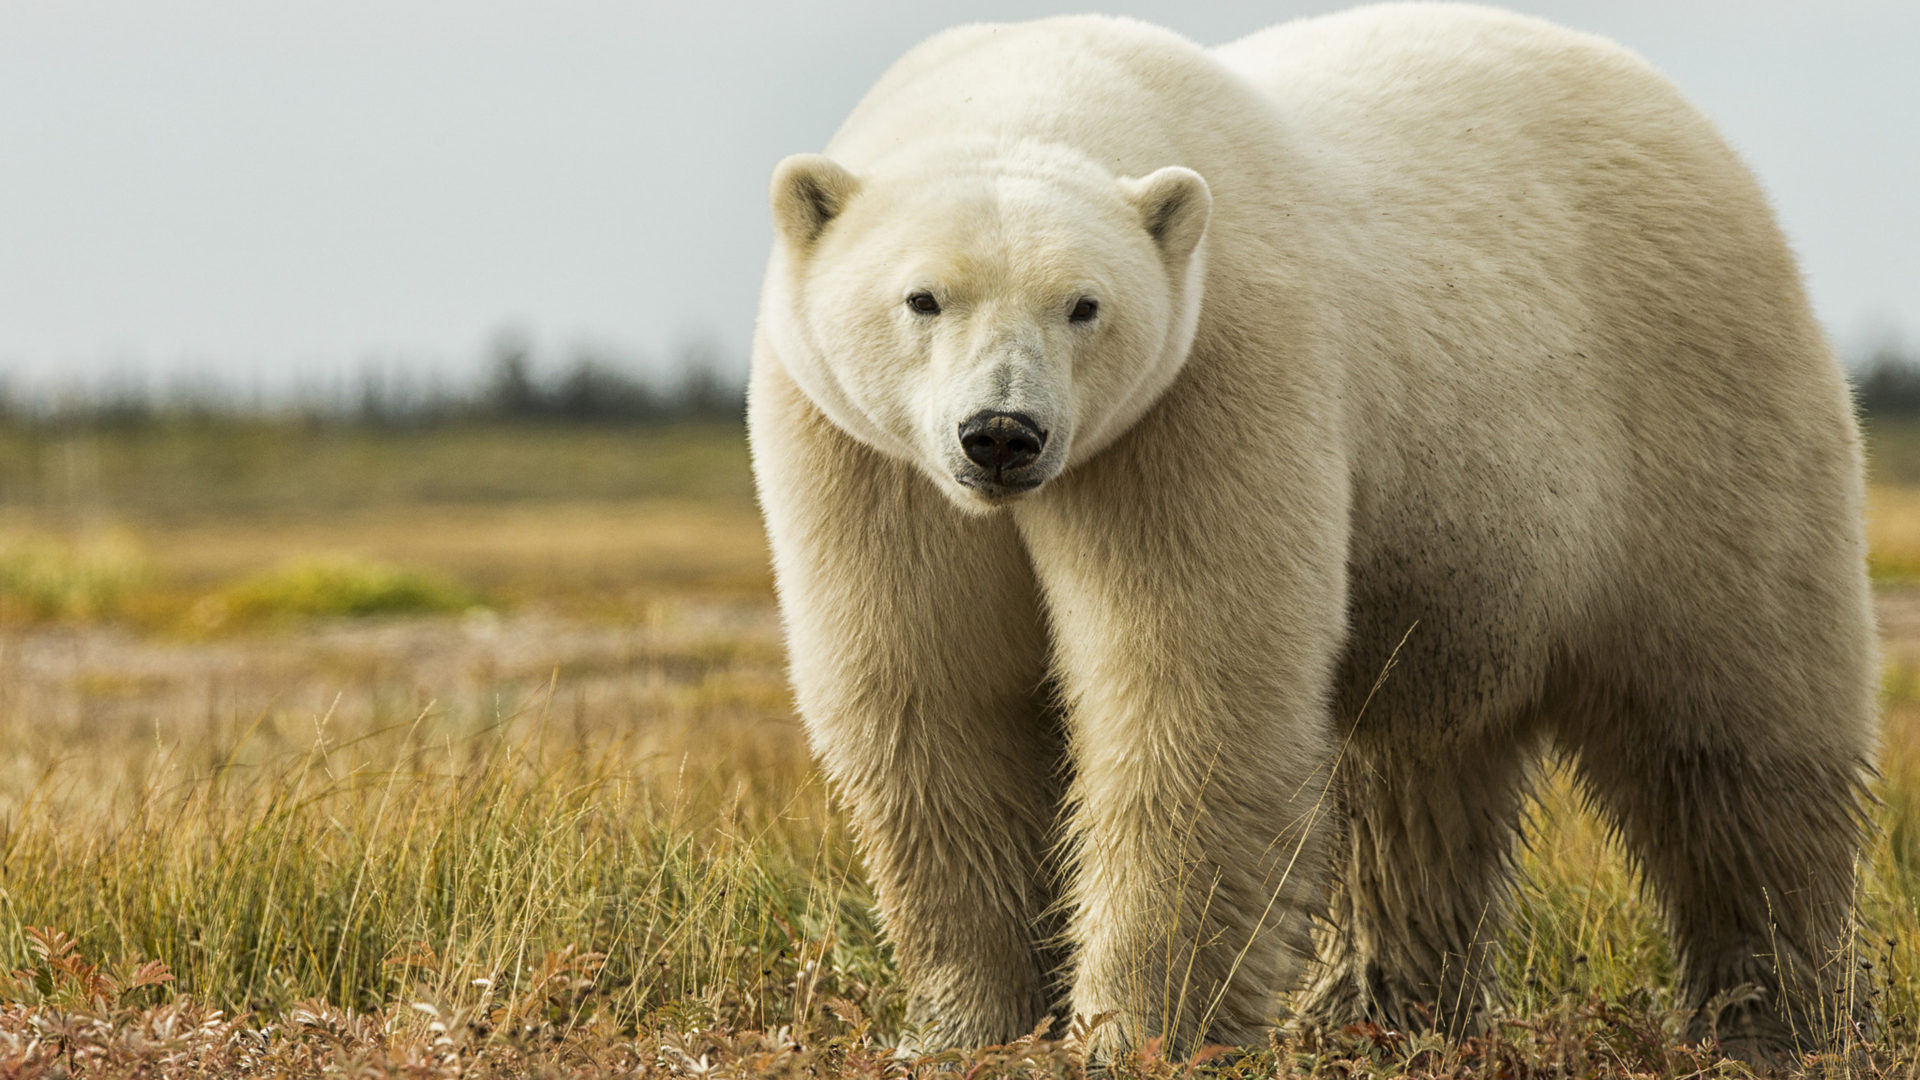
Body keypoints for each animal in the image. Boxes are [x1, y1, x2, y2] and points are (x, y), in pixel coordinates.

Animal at [747, 2, 1878, 1059]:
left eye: (1085, 305)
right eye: (922, 297)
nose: (1001, 435)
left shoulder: (1208, 388)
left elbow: (1189, 686)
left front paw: (1140, 1028)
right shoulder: (865, 457)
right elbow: (931, 693)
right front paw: (971, 1023)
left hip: (1689, 420)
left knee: (1734, 732)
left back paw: (1774, 1015)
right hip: (1453, 545)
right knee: (1414, 776)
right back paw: (1381, 1010)